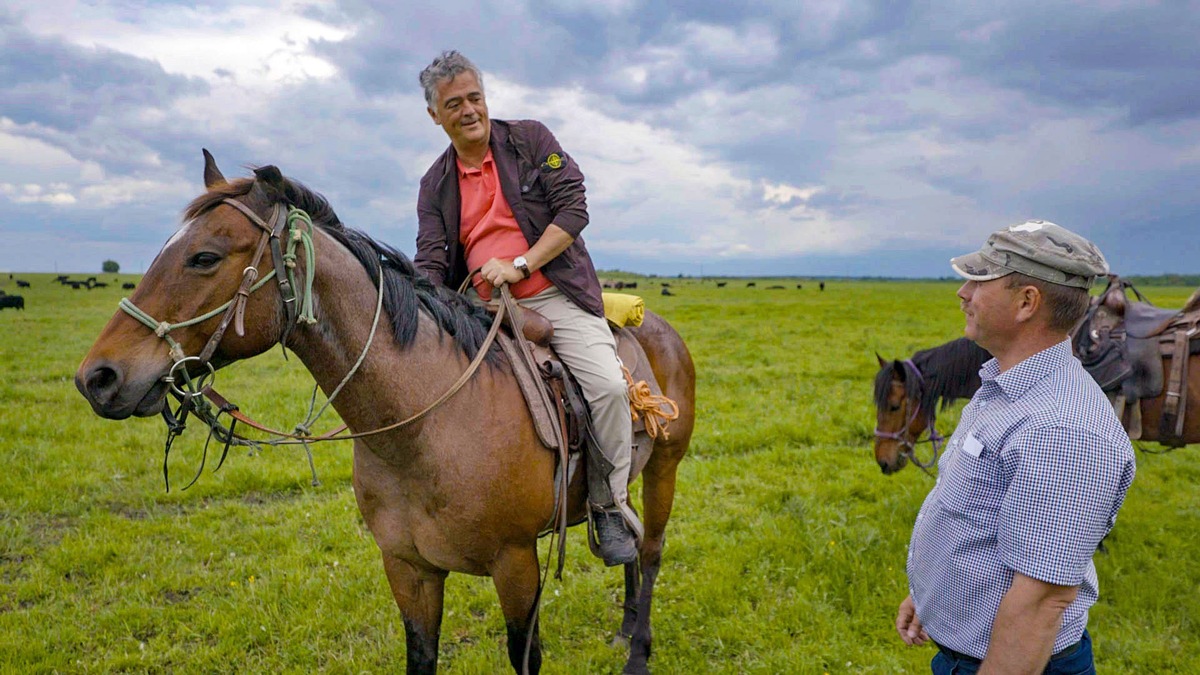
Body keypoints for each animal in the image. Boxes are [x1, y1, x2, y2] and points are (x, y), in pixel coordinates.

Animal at [75, 154, 696, 667]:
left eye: (203, 257)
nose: (96, 378)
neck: (428, 425)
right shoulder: (407, 569)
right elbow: (421, 653)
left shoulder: (518, 566)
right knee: (629, 543)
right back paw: (623, 626)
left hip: (664, 470)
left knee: (651, 551)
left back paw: (638, 650)